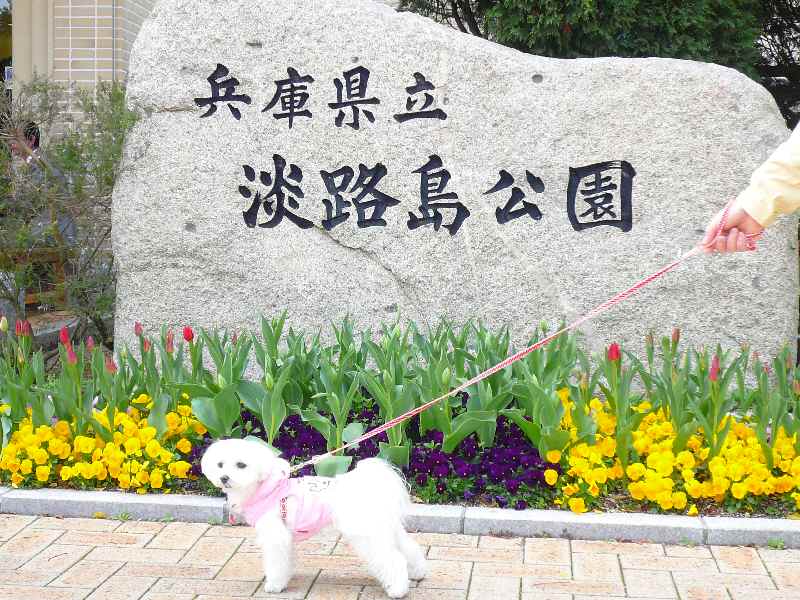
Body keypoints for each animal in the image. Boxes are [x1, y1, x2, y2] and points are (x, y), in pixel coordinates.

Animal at [201, 439, 427, 598]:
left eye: (241, 465)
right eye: (220, 464)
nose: (224, 478)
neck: (264, 488)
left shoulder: (275, 536)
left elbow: (275, 562)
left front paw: (274, 585)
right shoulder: (285, 537)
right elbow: (286, 560)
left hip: (366, 533)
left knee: (393, 559)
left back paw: (398, 590)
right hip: (386, 529)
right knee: (408, 549)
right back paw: (417, 572)